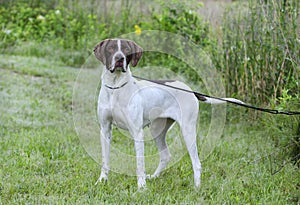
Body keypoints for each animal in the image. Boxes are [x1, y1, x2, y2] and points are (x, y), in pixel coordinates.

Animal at [94, 38, 244, 189]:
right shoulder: (105, 129)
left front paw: (141, 187)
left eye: (126, 49)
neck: (115, 87)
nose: (119, 58)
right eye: (111, 48)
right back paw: (154, 177)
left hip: (187, 130)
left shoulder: (137, 132)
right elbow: (105, 160)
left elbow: (140, 164)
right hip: (157, 130)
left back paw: (196, 188)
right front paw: (102, 181)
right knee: (166, 155)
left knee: (196, 162)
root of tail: (191, 91)